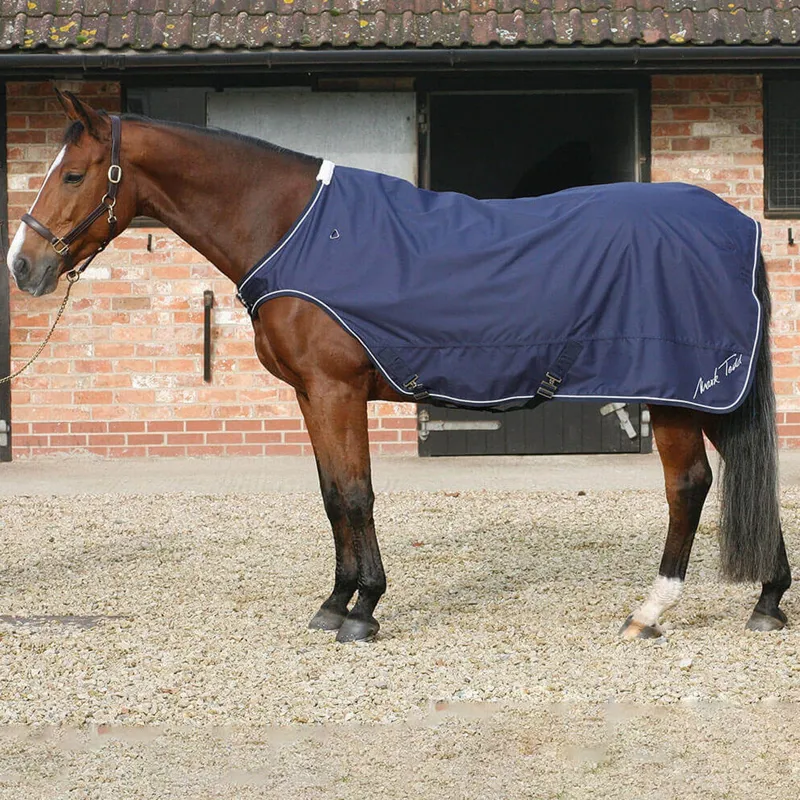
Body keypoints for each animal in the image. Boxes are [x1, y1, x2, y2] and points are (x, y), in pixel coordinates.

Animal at [6, 90, 791, 643]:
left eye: (72, 174)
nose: (24, 266)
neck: (294, 229)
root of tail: (734, 225)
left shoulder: (337, 391)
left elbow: (357, 495)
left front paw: (364, 610)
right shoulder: (311, 396)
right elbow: (332, 495)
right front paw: (335, 602)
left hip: (678, 394)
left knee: (689, 486)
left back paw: (650, 612)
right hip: (711, 396)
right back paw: (769, 599)